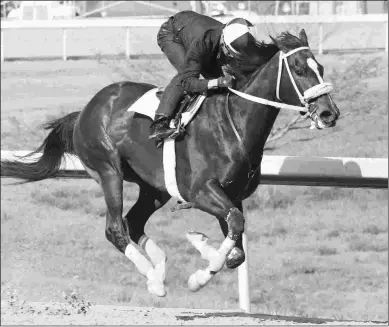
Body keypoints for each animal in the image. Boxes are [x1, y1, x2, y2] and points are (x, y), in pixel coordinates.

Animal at [0, 30, 338, 298]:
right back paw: (152, 277)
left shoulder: (233, 195)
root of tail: (85, 109)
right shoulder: (201, 191)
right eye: (298, 68)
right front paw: (198, 277)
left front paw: (200, 242)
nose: (328, 113)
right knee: (115, 228)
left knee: (134, 222)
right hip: (108, 170)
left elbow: (237, 245)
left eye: (320, 67)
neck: (234, 124)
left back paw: (159, 272)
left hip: (154, 187)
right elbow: (234, 227)